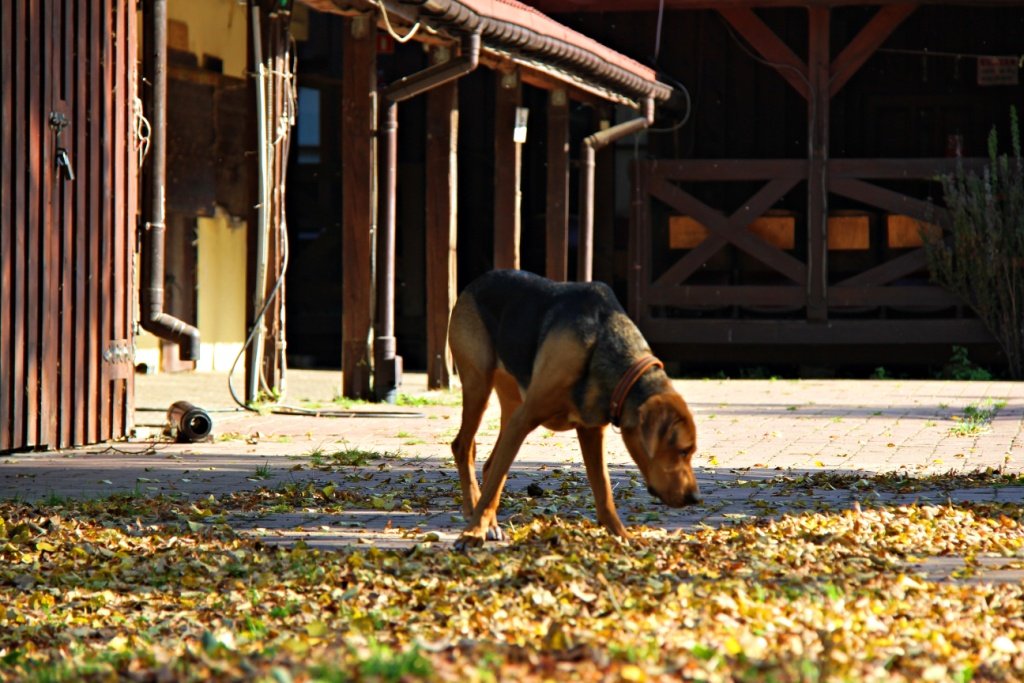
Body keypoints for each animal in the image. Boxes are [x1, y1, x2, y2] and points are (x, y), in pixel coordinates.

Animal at [446, 270, 696, 548]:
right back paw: (474, 513)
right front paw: (472, 533)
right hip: (479, 386)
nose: (694, 498)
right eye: (683, 451)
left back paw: (490, 525)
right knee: (463, 447)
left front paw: (621, 535)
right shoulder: (524, 419)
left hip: (511, 403)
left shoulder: (591, 431)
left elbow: (604, 491)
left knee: (490, 465)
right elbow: (492, 488)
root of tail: (477, 282)